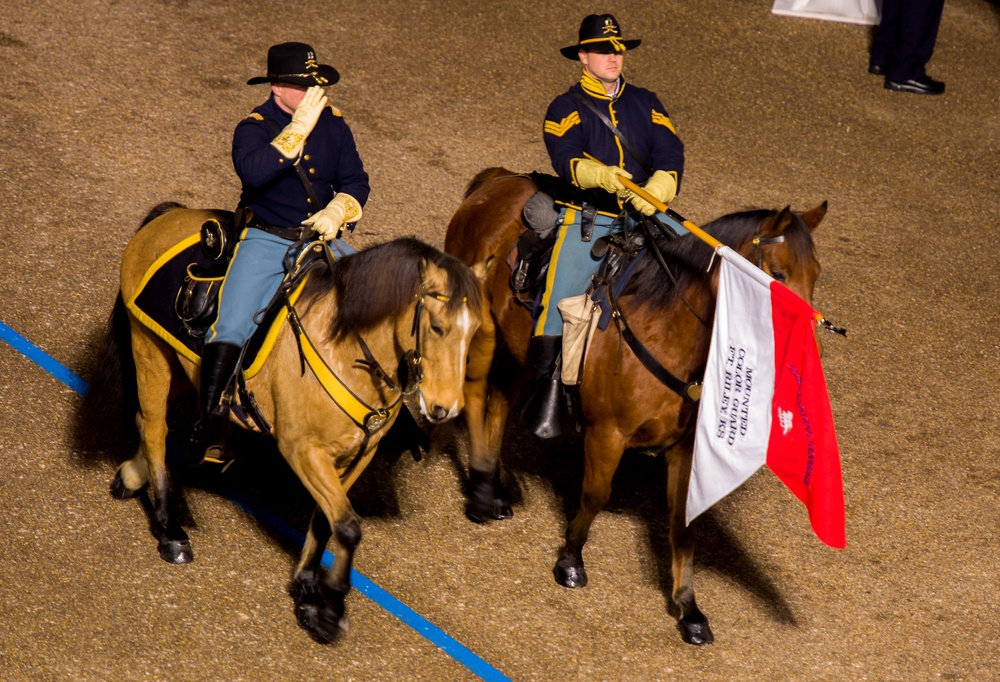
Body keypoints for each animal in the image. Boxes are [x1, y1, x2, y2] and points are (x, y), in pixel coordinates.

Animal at [81, 205, 488, 640]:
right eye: (437, 327)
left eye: (476, 332)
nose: (445, 408)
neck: (347, 348)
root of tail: (171, 215)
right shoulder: (303, 450)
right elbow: (347, 526)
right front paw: (329, 607)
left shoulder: (357, 457)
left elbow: (327, 521)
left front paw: (308, 590)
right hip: (150, 350)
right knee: (156, 428)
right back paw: (169, 528)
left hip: (182, 367)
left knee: (149, 420)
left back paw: (136, 473)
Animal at [446, 166, 828, 644]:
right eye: (777, 273)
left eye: (815, 273)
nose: (802, 352)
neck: (669, 330)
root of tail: (500, 180)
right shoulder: (606, 433)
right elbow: (595, 495)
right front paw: (570, 561)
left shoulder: (685, 449)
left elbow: (683, 523)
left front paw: (688, 607)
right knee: (472, 397)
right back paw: (481, 493)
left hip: (519, 352)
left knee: (497, 406)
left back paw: (495, 490)